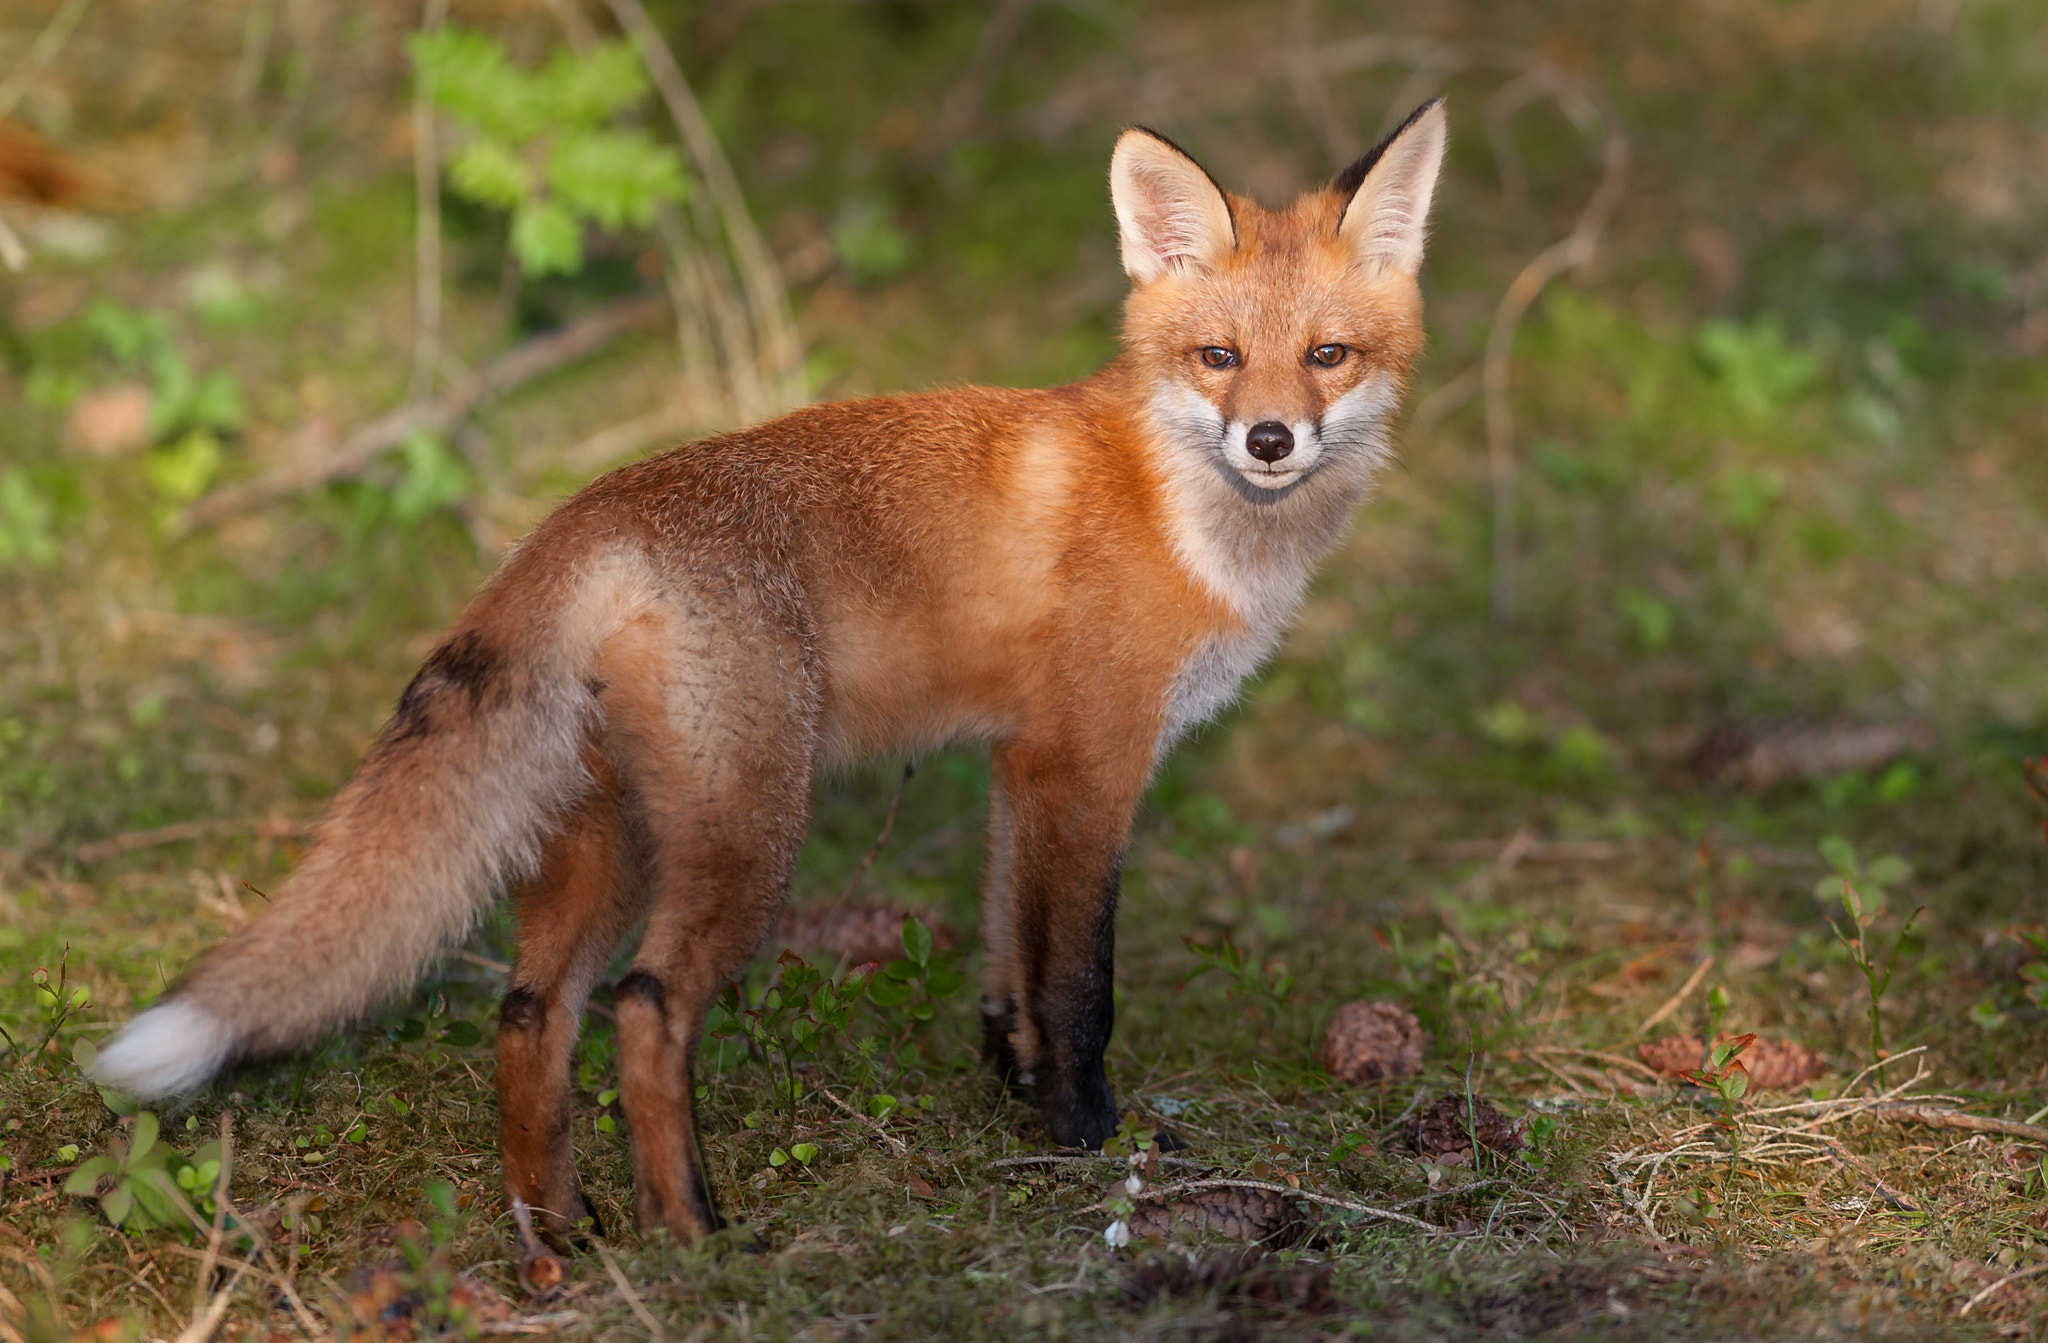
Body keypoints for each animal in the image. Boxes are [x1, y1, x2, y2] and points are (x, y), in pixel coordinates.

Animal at [92, 100, 1448, 1247]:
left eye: (1327, 355)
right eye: (1217, 355)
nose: (1268, 438)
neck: (1184, 513)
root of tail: (585, 518)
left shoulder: (1017, 763)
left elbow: (1003, 959)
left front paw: (1008, 1089)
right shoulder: (1089, 764)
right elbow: (1076, 987)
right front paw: (1082, 1139)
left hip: (609, 834)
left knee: (531, 1013)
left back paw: (557, 1237)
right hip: (747, 830)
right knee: (644, 1006)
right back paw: (692, 1232)